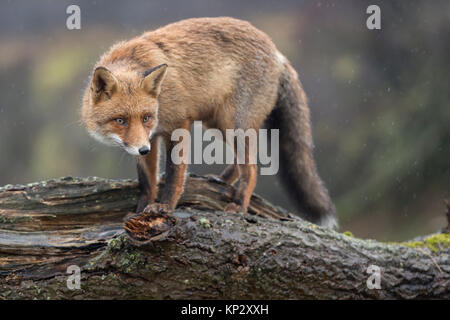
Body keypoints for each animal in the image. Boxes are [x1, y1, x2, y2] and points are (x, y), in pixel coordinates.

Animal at [81, 16, 338, 228]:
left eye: (146, 117)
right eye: (121, 120)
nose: (142, 149)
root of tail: (277, 52)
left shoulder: (177, 125)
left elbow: (174, 175)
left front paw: (164, 208)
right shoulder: (150, 138)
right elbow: (147, 181)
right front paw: (141, 210)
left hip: (233, 123)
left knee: (252, 169)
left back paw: (239, 205)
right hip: (218, 124)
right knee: (243, 161)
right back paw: (222, 180)